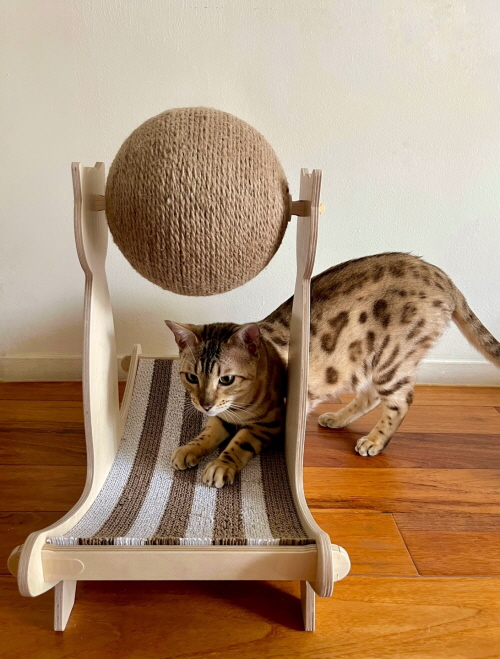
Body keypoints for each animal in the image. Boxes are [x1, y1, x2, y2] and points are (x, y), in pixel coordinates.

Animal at [166, 252, 500, 488]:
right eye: (192, 377)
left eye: (226, 379)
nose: (205, 403)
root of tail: (442, 277)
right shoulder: (222, 416)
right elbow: (208, 432)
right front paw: (189, 448)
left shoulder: (271, 421)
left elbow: (240, 442)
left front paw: (221, 465)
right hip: (365, 362)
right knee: (370, 395)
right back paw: (337, 419)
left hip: (390, 360)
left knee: (401, 401)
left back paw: (374, 441)